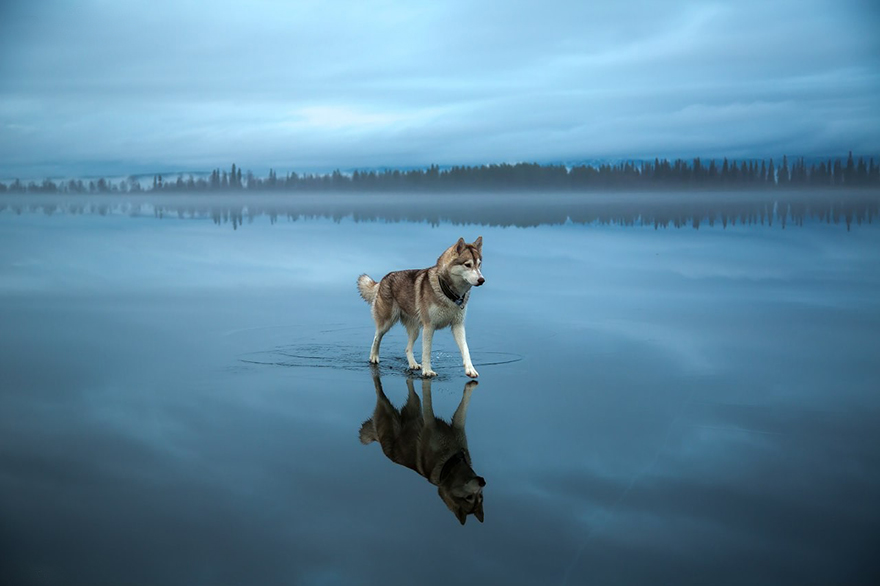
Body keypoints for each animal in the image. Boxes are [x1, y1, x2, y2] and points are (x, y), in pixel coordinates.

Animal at [356, 236, 484, 376]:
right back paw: (373, 357)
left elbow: (465, 349)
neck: (448, 293)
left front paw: (470, 369)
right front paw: (427, 371)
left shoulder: (458, 325)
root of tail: (383, 279)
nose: (482, 280)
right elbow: (427, 351)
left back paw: (413, 364)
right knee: (376, 337)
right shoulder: (429, 327)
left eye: (479, 264)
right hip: (387, 322)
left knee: (407, 348)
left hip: (415, 330)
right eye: (468, 265)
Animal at [360, 370, 488, 524]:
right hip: (387, 409)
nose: (483, 482)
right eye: (469, 498)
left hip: (414, 405)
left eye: (480, 497)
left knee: (411, 389)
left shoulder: (458, 426)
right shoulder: (430, 423)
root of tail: (378, 440)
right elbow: (428, 401)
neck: (451, 460)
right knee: (379, 390)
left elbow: (463, 405)